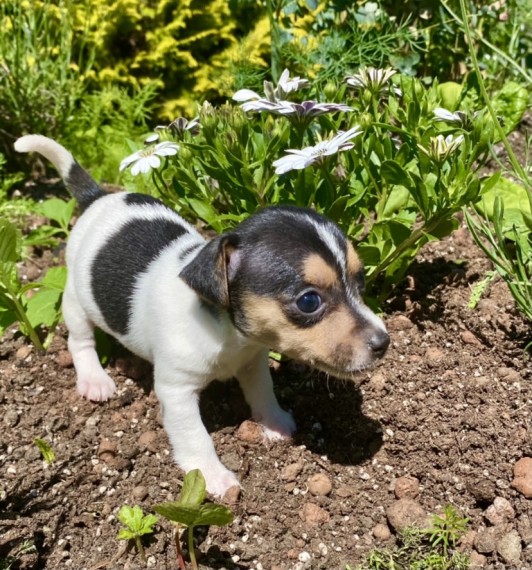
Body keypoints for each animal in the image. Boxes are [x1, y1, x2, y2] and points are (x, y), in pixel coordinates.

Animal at [15, 135, 390, 494]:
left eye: (360, 281)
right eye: (309, 301)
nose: (383, 343)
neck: (228, 334)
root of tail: (96, 198)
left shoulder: (253, 361)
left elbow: (263, 392)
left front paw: (274, 422)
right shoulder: (176, 391)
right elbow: (195, 436)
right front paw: (213, 476)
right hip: (76, 301)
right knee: (80, 341)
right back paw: (94, 378)